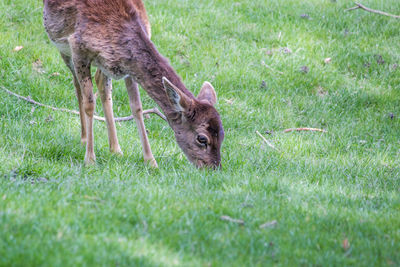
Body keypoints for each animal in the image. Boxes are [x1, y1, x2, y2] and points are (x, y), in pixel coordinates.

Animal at [43, 0, 225, 169]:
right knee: (76, 85)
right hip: (64, 47)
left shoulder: (129, 69)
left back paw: (116, 149)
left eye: (223, 135)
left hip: (103, 66)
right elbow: (89, 104)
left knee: (102, 84)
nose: (213, 168)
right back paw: (84, 138)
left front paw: (151, 162)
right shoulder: (78, 48)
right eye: (202, 138)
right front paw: (90, 160)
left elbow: (136, 107)